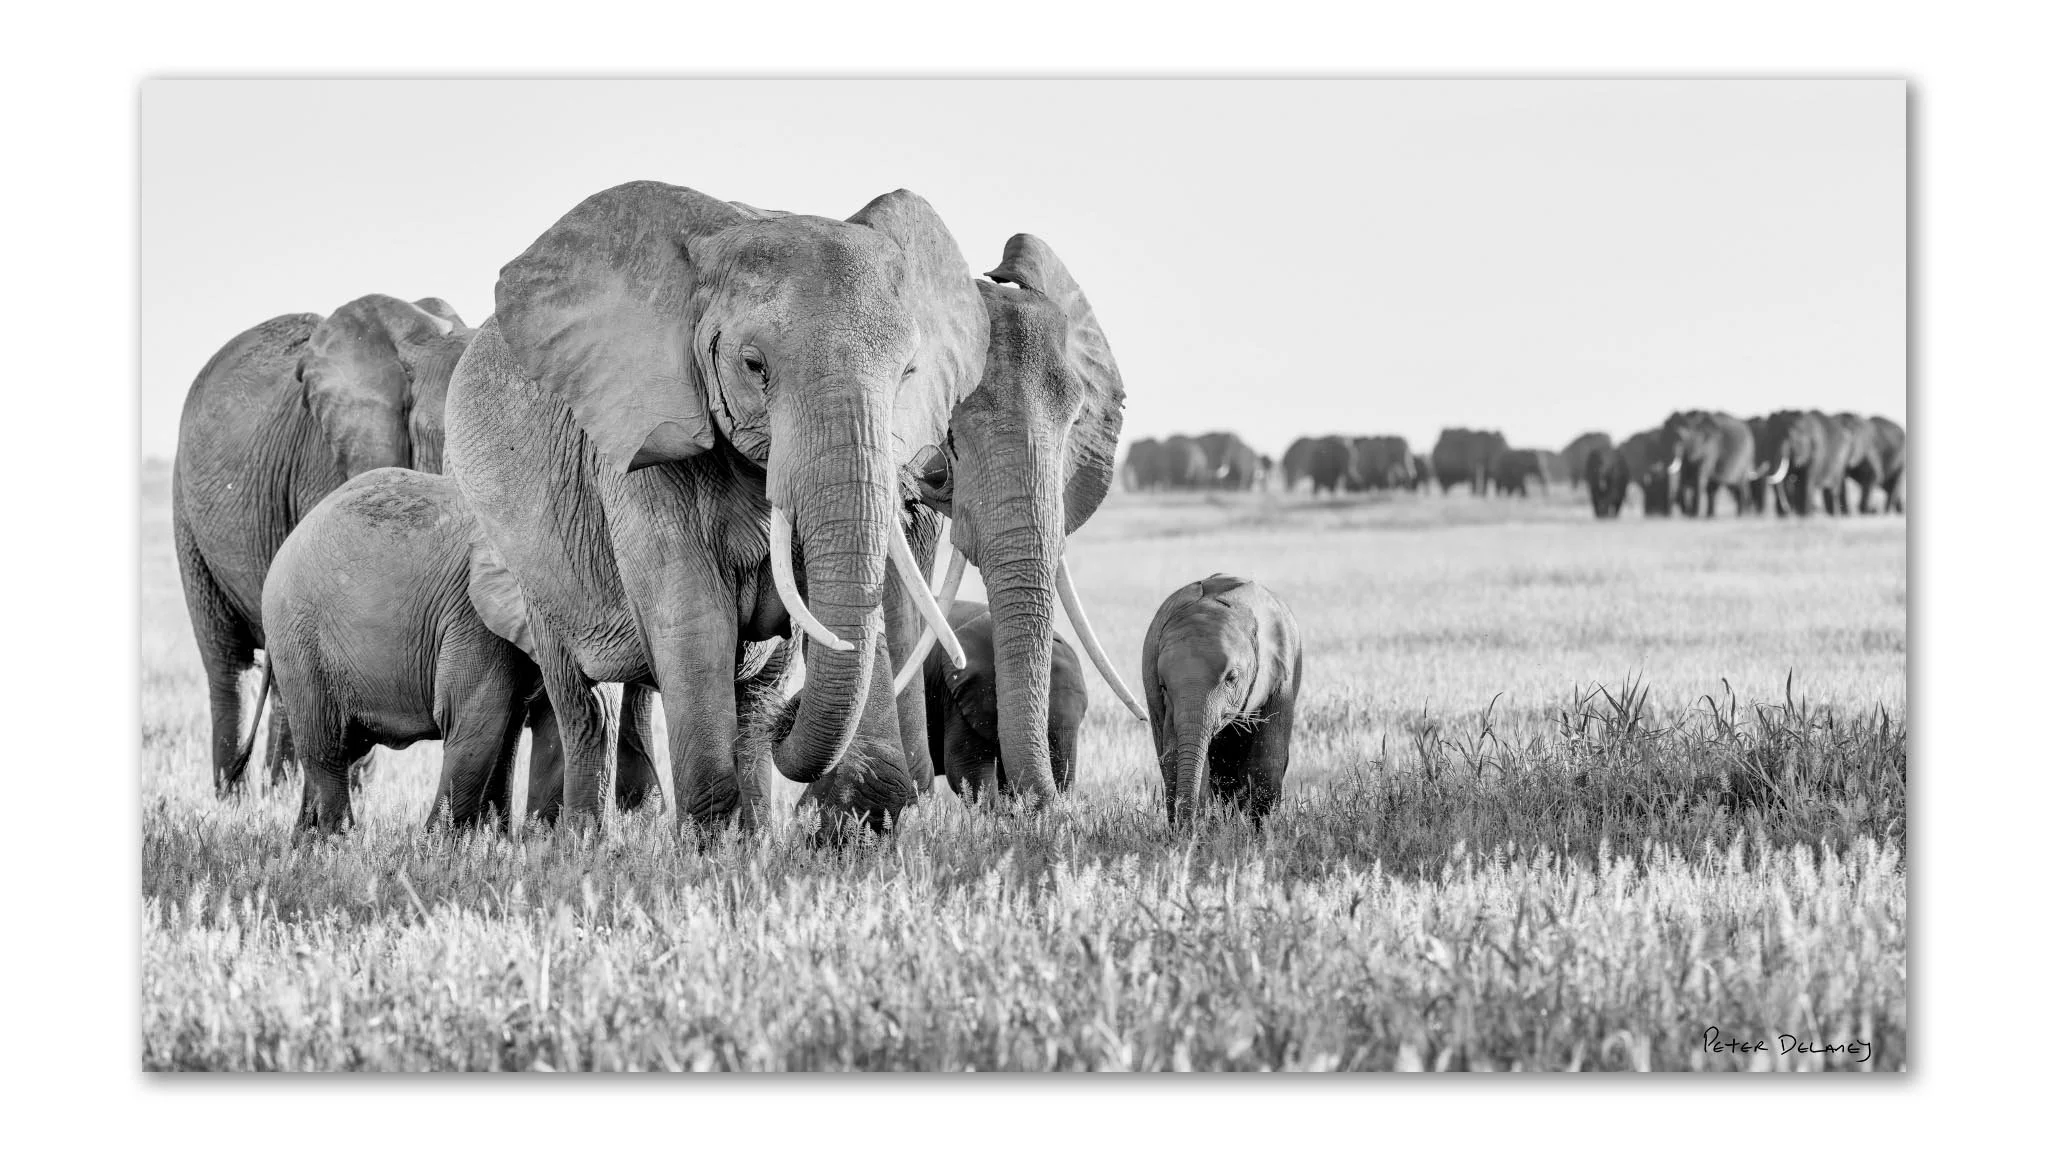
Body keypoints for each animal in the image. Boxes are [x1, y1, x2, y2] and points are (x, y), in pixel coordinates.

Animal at [1142, 574, 1302, 827]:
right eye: (1163, 686)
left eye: (1232, 678)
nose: (1186, 829)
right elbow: (1177, 758)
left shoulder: (1280, 679)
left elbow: (1266, 763)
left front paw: (1260, 833)